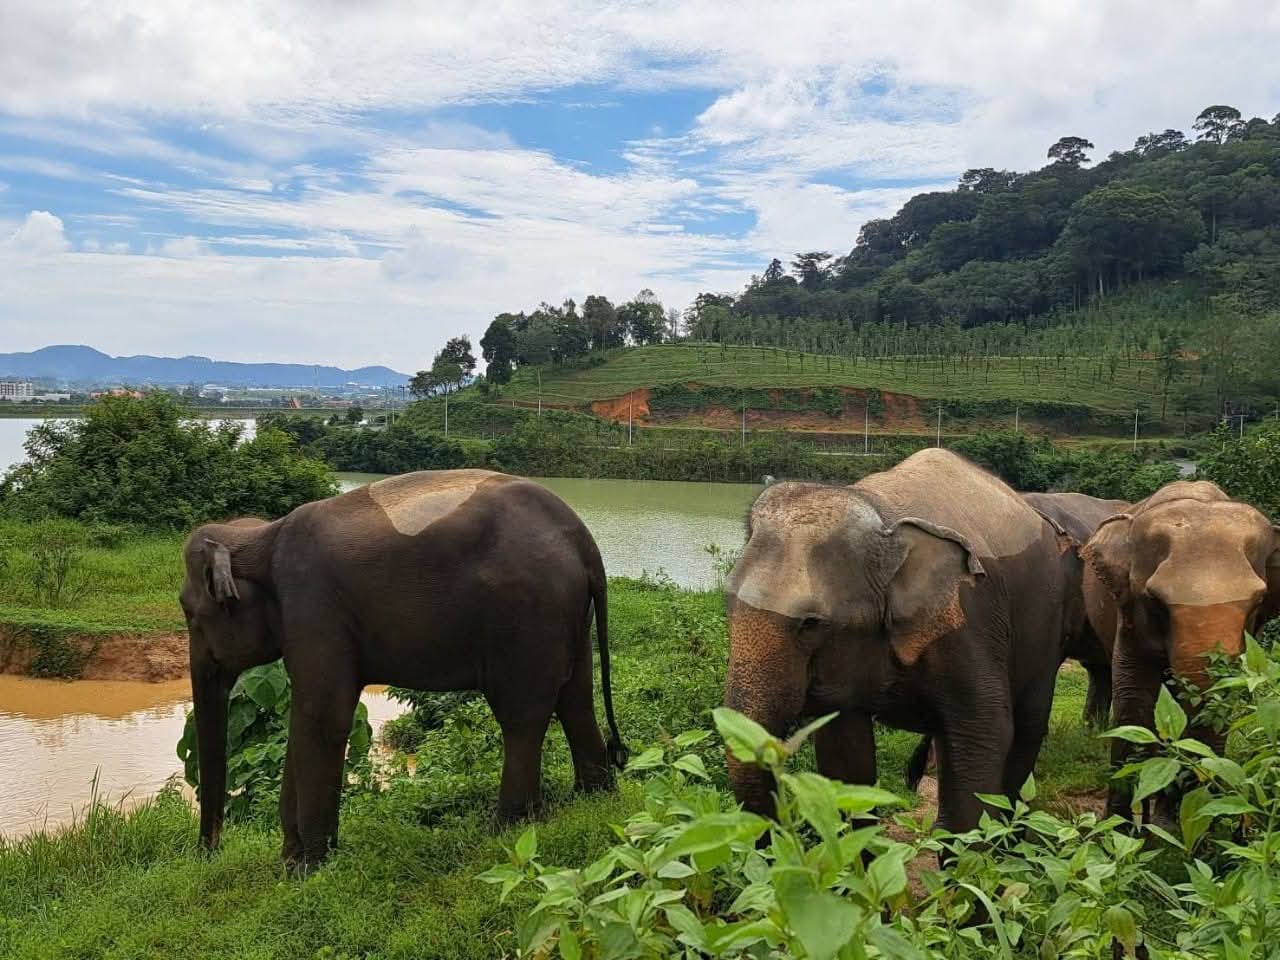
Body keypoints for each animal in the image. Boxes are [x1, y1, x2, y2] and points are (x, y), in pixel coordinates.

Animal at [179, 469, 627, 870]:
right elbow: (308, 719)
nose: (207, 854)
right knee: (575, 699)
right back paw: (592, 799)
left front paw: (309, 869)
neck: (262, 537)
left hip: (526, 614)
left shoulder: (314, 607)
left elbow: (323, 717)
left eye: (189, 612)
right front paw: (291, 864)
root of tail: (585, 543)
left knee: (522, 716)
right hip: (568, 615)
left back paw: (507, 829)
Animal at [723, 448, 1069, 834]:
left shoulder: (971, 621)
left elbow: (982, 735)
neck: (881, 514)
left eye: (811, 624)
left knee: (1028, 724)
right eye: (727, 601)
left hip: (1047, 619)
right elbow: (843, 750)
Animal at [1081, 480, 1280, 820]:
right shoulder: (1129, 618)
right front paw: (1117, 829)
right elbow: (1135, 699)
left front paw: (1175, 824)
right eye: (1155, 601)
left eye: (1257, 602)